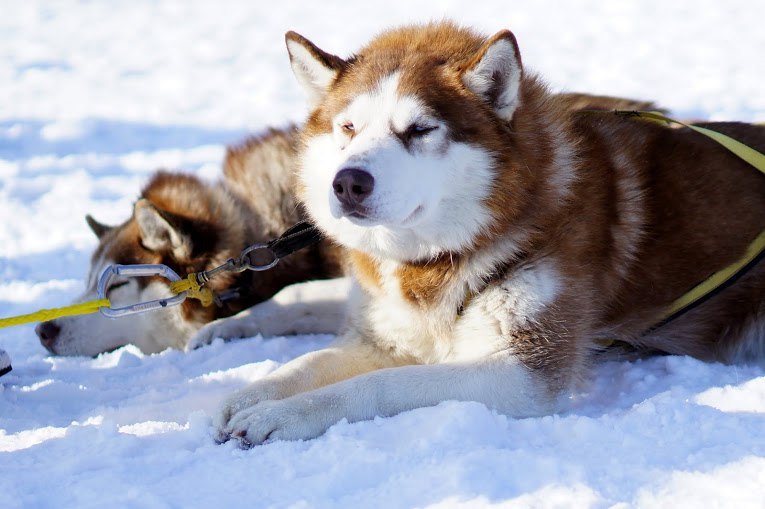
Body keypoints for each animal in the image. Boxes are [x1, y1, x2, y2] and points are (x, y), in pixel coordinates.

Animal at [213, 22, 764, 444]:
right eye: (348, 127)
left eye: (420, 130)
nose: (347, 182)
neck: (443, 255)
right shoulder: (385, 324)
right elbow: (308, 349)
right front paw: (246, 384)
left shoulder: (523, 372)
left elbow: (386, 383)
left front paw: (280, 414)